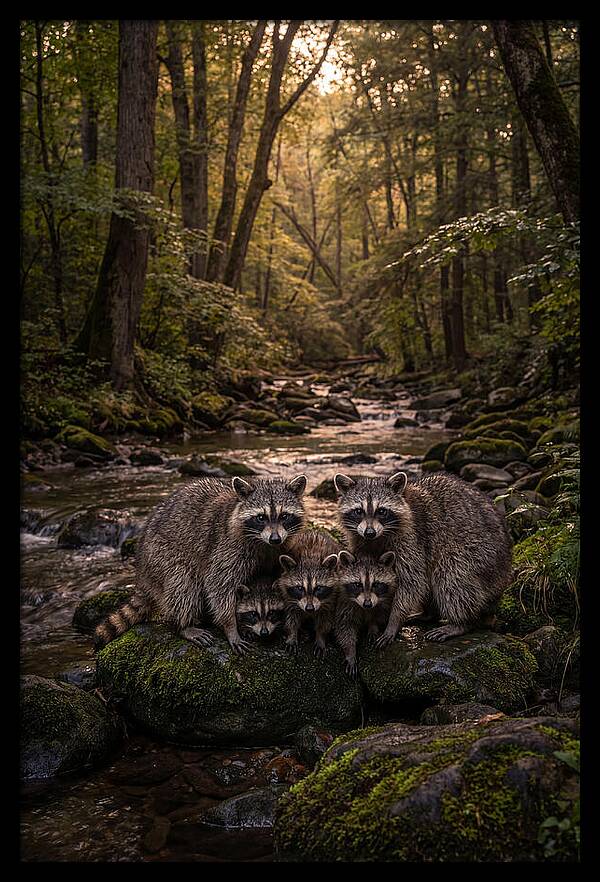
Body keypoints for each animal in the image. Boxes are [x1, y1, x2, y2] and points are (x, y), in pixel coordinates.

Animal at [94, 474, 307, 653]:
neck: (264, 543)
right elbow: (219, 585)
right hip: (160, 556)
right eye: (261, 517)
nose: (275, 538)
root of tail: (141, 572)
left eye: (284, 516)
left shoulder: (280, 549)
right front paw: (231, 626)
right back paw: (184, 625)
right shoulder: (227, 547)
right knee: (183, 584)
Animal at [334, 471, 512, 645]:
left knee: (451, 576)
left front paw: (394, 620)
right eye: (358, 511)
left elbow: (412, 581)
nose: (369, 532)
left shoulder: (411, 538)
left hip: (480, 555)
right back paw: (429, 614)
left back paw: (460, 622)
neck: (378, 537)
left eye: (382, 511)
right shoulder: (359, 539)